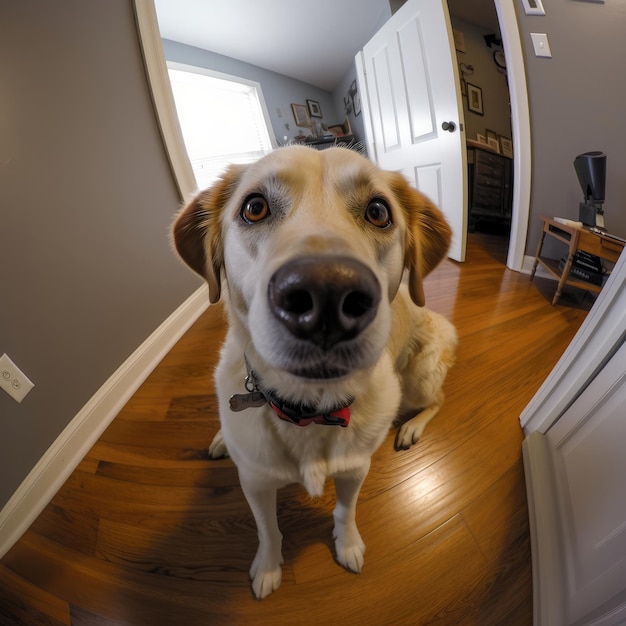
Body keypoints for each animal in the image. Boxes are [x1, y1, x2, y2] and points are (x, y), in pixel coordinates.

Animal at [173, 144, 456, 596]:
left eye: (379, 212)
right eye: (254, 207)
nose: (327, 294)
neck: (307, 409)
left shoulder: (355, 470)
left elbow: (344, 512)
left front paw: (348, 545)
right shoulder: (254, 481)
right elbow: (267, 529)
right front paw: (268, 568)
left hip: (417, 377)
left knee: (437, 399)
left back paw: (411, 428)